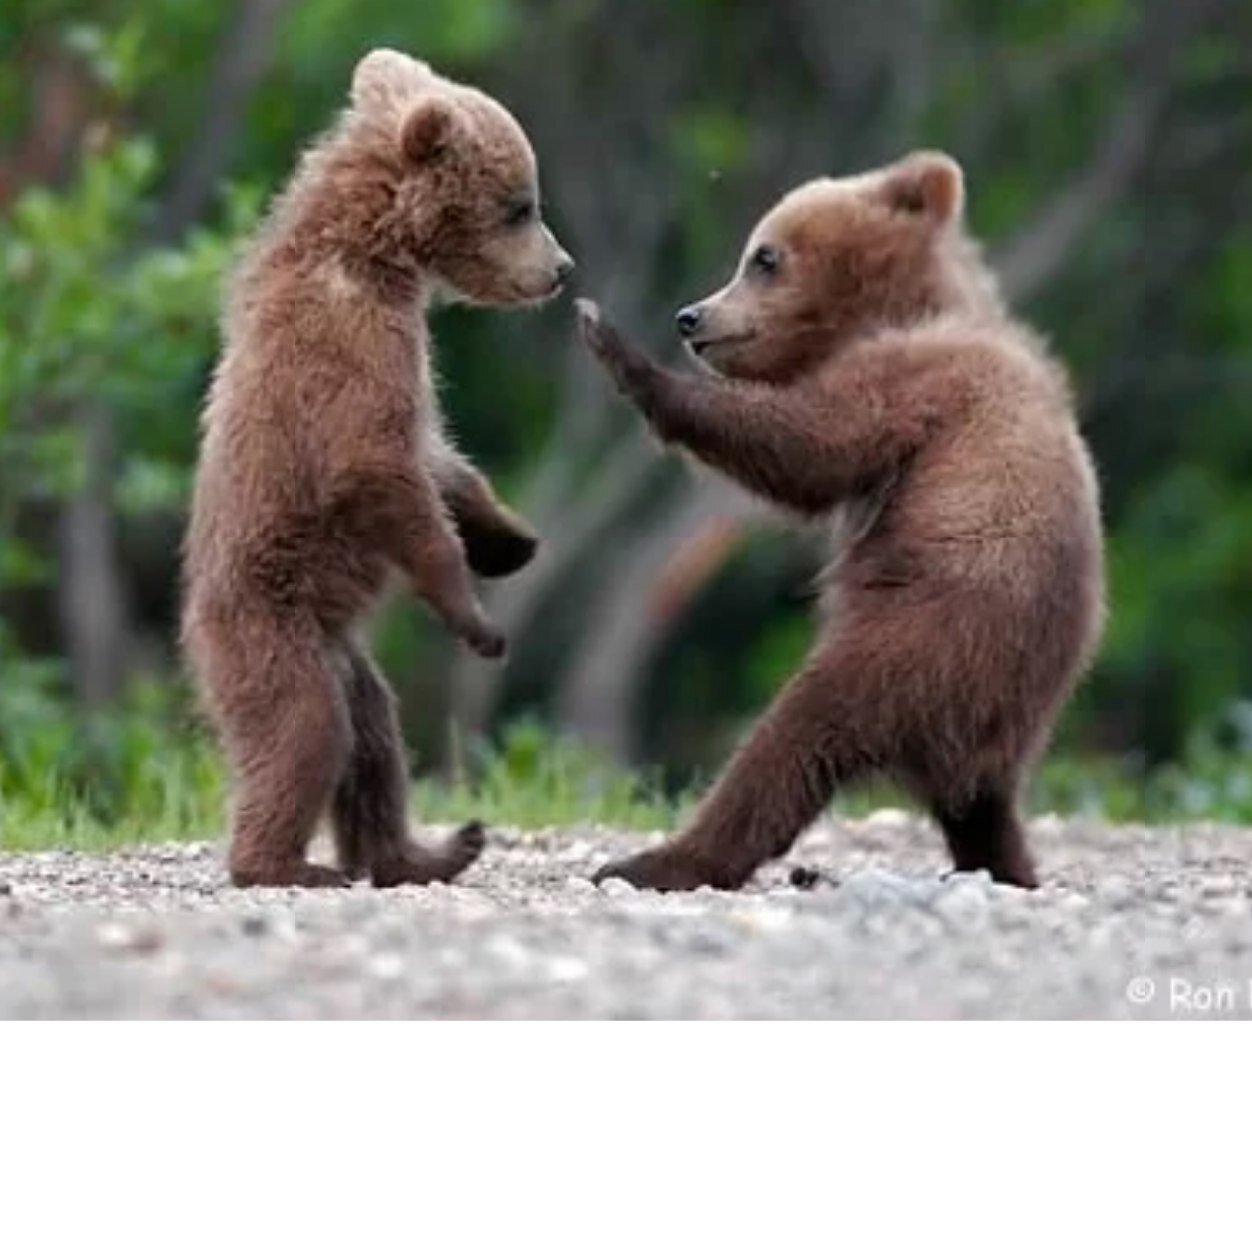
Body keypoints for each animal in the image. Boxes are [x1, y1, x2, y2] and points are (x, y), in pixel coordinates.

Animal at [182, 49, 574, 889]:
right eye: (520, 205)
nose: (561, 268)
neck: (378, 258)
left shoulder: (405, 358)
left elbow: (437, 456)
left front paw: (509, 538)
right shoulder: (351, 348)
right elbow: (376, 469)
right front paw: (477, 619)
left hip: (343, 655)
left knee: (373, 741)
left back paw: (427, 850)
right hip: (271, 629)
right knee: (305, 731)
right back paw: (284, 865)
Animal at [576, 150, 1104, 891]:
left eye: (763, 257)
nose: (691, 316)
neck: (898, 310)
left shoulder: (917, 383)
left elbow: (810, 445)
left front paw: (614, 344)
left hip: (919, 641)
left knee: (792, 738)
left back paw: (659, 860)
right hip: (1000, 709)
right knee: (981, 806)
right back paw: (1007, 866)